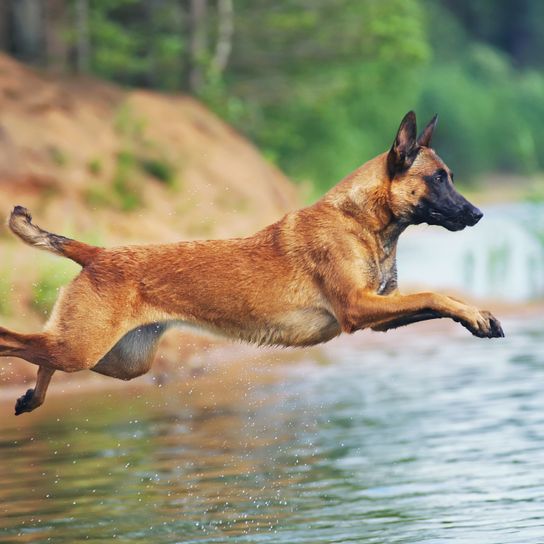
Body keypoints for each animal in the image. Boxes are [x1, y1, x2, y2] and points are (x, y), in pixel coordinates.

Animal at [0, 111, 504, 416]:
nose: (479, 214)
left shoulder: (377, 315)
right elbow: (437, 293)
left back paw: (31, 397)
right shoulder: (359, 309)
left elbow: (432, 300)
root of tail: (97, 253)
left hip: (118, 360)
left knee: (40, 353)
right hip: (83, 347)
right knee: (17, 341)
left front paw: (476, 317)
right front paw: (478, 314)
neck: (361, 219)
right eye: (437, 179)